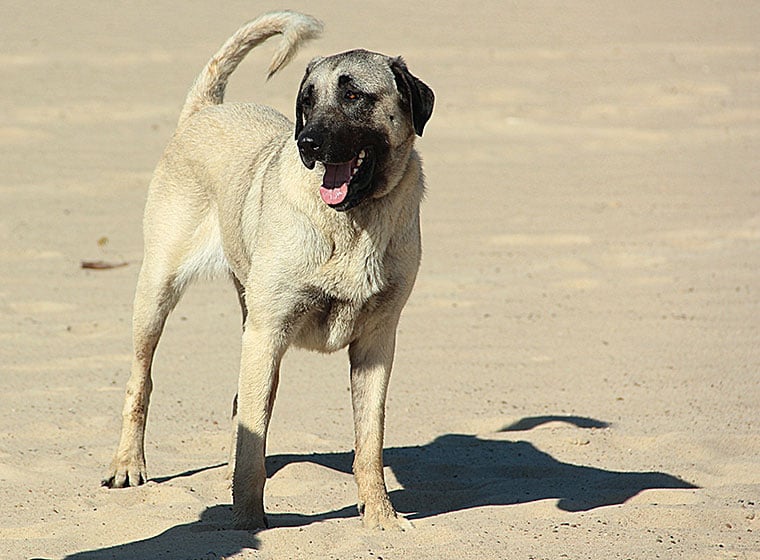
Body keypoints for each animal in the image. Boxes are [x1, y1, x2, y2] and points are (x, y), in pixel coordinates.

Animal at [101, 9, 434, 532]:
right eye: (306, 101)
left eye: (354, 95)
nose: (307, 143)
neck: (352, 222)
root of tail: (205, 111)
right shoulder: (268, 332)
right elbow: (253, 441)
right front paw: (246, 521)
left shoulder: (376, 344)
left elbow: (369, 445)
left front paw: (380, 516)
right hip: (158, 292)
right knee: (143, 380)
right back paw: (128, 466)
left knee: (243, 406)